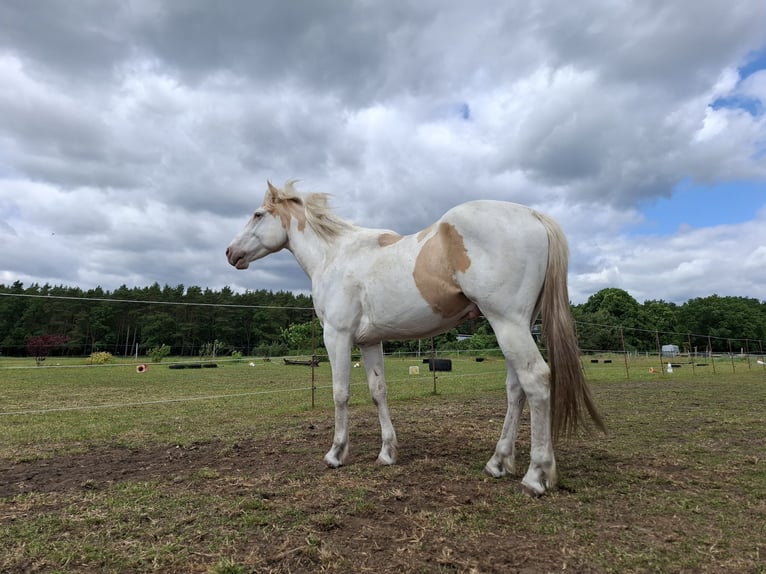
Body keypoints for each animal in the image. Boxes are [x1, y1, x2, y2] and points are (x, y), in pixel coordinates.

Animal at [226, 181, 604, 495]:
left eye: (258, 214)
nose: (231, 253)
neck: (335, 256)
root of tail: (533, 215)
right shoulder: (370, 342)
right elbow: (378, 392)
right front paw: (387, 453)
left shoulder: (338, 336)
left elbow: (340, 394)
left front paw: (336, 453)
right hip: (516, 326)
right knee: (516, 390)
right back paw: (498, 463)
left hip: (507, 323)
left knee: (536, 381)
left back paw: (536, 476)